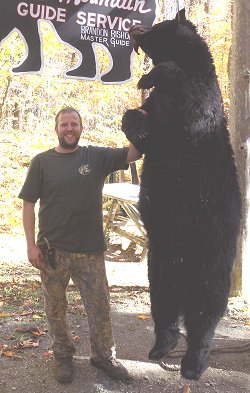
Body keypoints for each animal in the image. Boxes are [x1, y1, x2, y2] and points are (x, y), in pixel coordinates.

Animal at [121, 9, 242, 380]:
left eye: (155, 25)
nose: (134, 26)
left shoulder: (202, 100)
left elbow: (193, 107)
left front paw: (149, 77)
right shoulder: (157, 118)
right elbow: (143, 127)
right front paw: (135, 115)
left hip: (212, 256)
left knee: (205, 313)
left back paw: (193, 363)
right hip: (160, 264)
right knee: (165, 306)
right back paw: (162, 345)